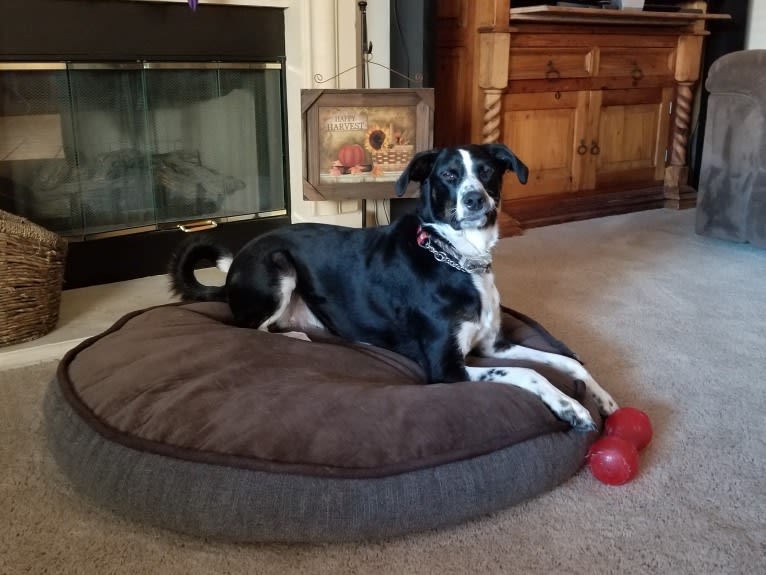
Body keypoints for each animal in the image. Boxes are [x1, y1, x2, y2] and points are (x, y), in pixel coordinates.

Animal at [170, 144, 616, 432]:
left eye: (487, 171)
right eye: (449, 176)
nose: (475, 200)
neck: (457, 257)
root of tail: (233, 271)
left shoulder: (494, 345)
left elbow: (566, 360)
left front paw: (601, 397)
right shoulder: (446, 368)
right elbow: (530, 373)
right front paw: (571, 407)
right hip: (277, 264)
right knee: (250, 328)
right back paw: (293, 335)